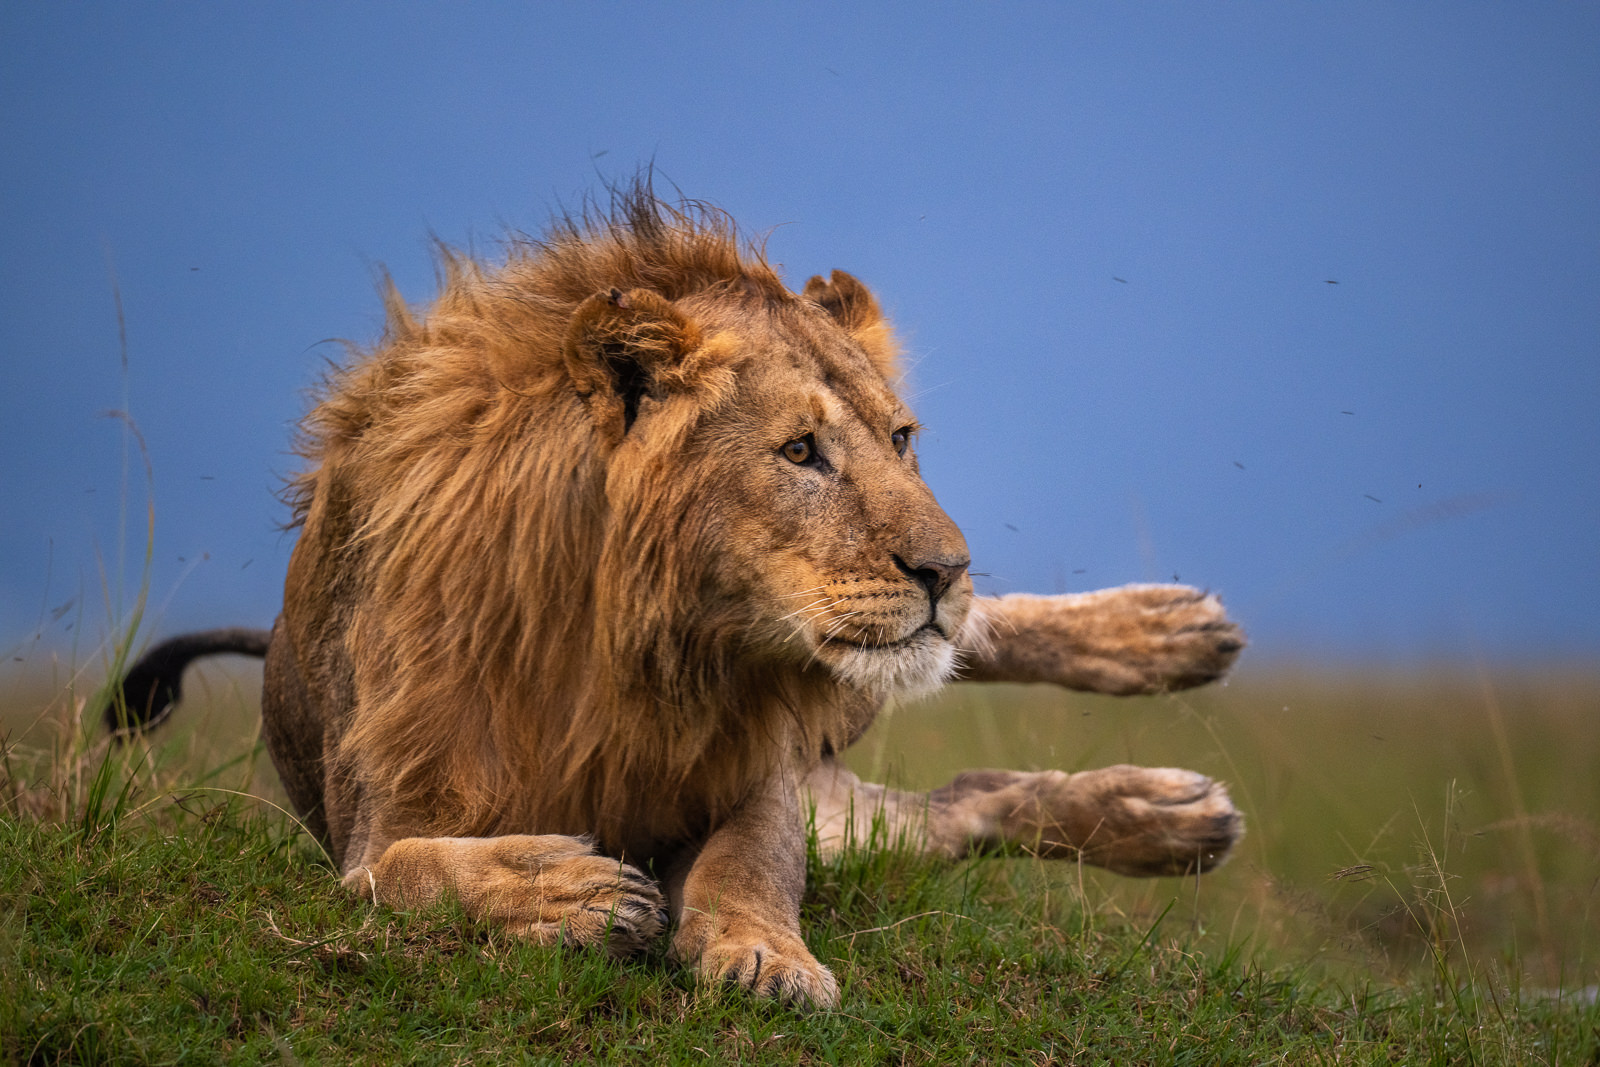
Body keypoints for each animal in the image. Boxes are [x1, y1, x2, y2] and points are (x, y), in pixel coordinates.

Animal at [113, 186, 1244, 1008]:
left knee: (968, 667)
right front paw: (571, 890)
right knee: (961, 799)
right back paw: (1165, 808)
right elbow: (416, 872)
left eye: (901, 439)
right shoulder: (370, 827)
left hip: (850, 687)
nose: (948, 570)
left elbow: (748, 866)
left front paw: (765, 956)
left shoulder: (759, 765)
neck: (635, 639)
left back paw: (1172, 642)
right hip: (854, 778)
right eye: (801, 451)